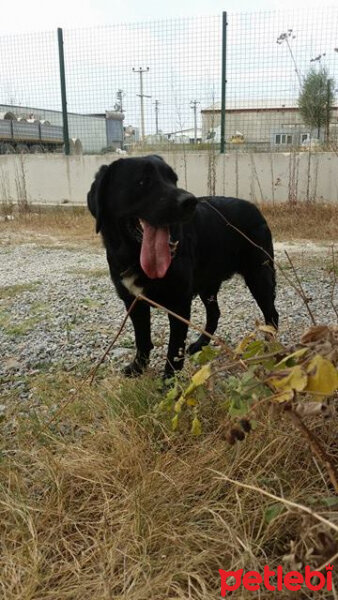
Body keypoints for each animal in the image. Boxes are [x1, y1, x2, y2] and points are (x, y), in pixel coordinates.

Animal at [86, 157, 278, 378]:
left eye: (173, 179)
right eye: (143, 181)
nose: (190, 202)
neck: (134, 257)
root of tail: (254, 208)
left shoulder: (179, 304)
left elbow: (174, 349)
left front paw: (168, 381)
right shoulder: (133, 301)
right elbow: (142, 339)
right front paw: (138, 367)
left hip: (259, 276)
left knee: (271, 315)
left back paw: (271, 350)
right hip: (208, 286)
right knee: (215, 314)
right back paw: (201, 344)